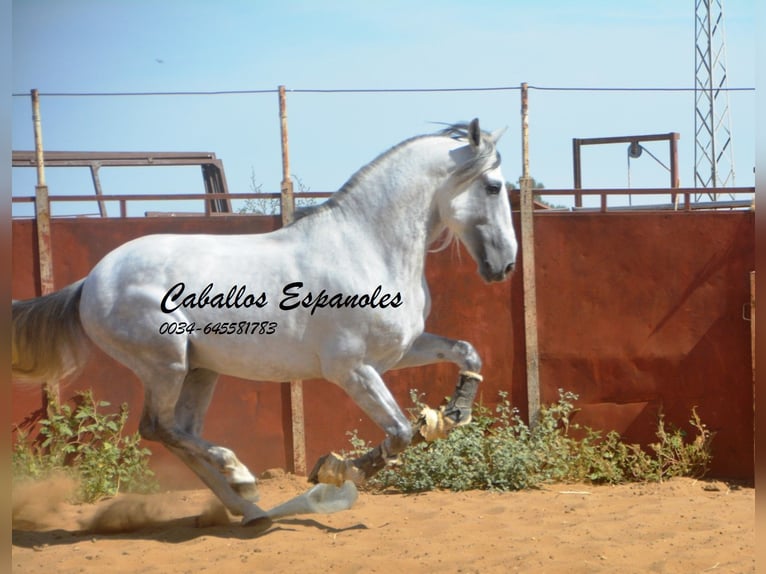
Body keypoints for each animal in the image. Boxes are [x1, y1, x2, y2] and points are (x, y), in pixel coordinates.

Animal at [12, 118, 520, 532]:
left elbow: (467, 352)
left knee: (179, 432)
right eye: (494, 187)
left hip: (200, 370)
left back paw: (249, 508)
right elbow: (397, 432)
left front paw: (454, 412)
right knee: (159, 428)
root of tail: (91, 281)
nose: (506, 266)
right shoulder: (350, 369)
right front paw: (334, 471)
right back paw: (242, 477)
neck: (366, 247)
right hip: (165, 365)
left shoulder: (399, 351)